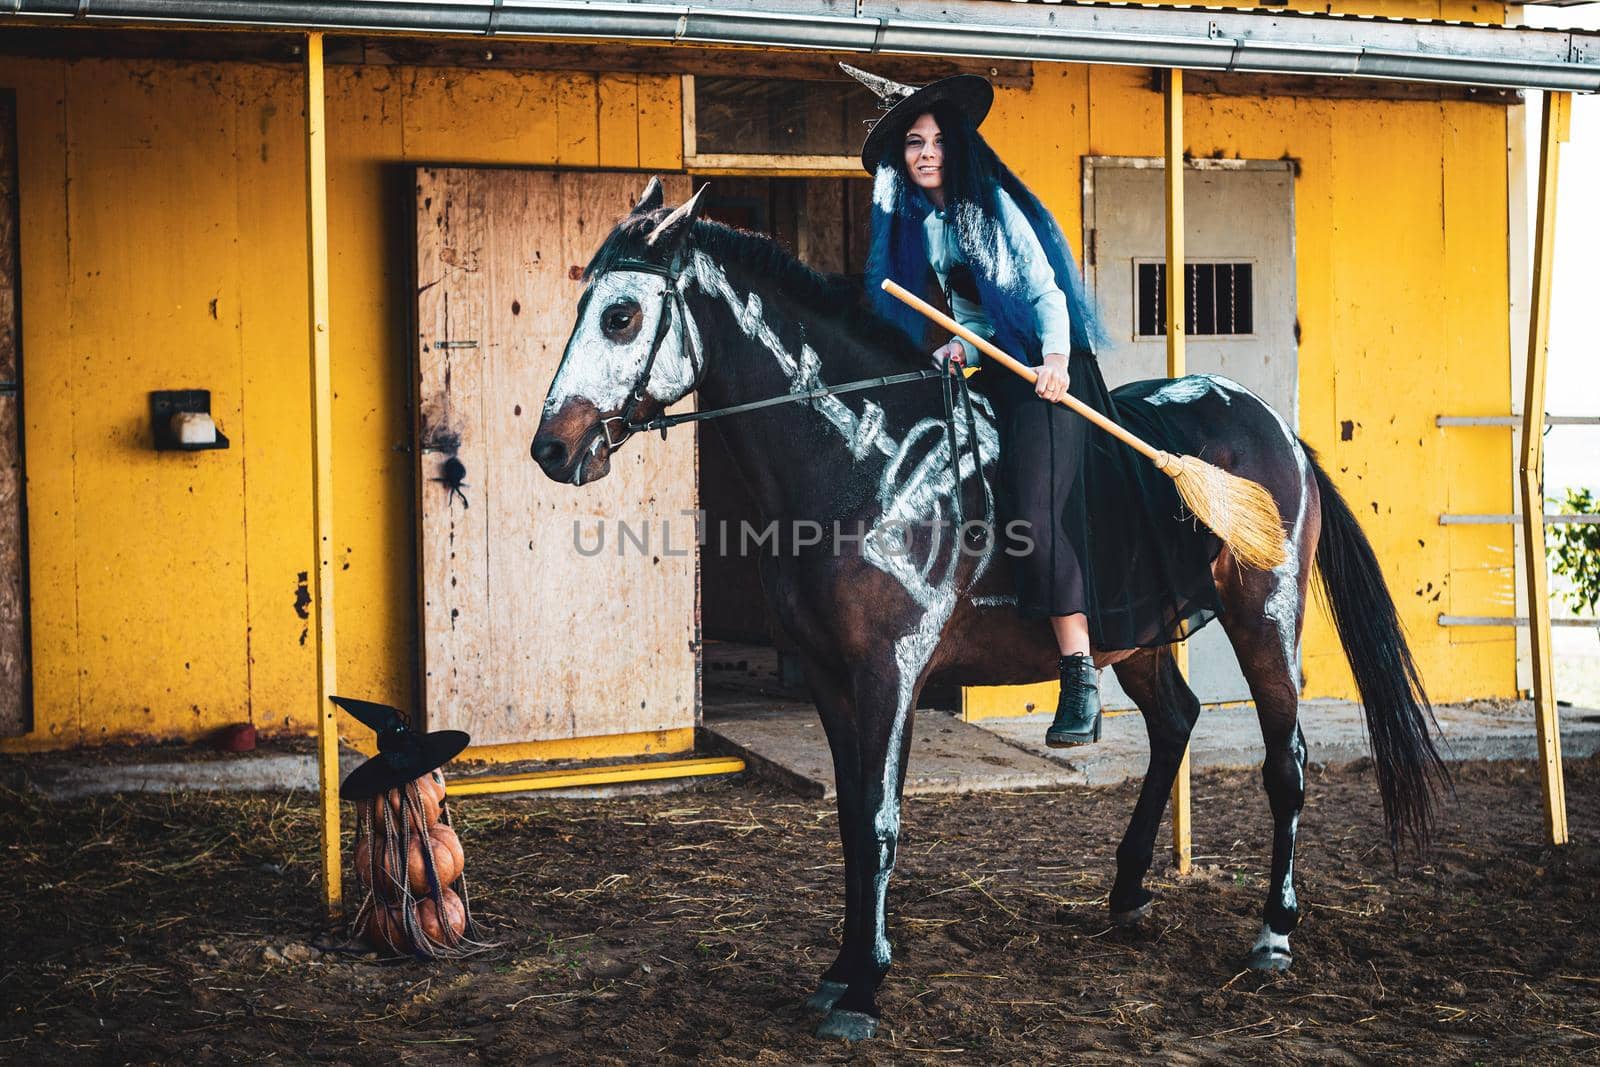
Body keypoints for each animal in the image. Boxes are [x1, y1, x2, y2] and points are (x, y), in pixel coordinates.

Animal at [531, 181, 1446, 1043]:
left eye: (620, 315)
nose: (551, 447)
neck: (862, 458)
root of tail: (1275, 431)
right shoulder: (830, 676)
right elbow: (852, 823)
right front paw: (841, 970)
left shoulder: (890, 669)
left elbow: (880, 817)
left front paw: (862, 988)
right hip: (1139, 635)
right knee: (1177, 722)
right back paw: (1127, 891)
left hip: (1266, 615)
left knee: (1285, 759)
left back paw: (1273, 934)